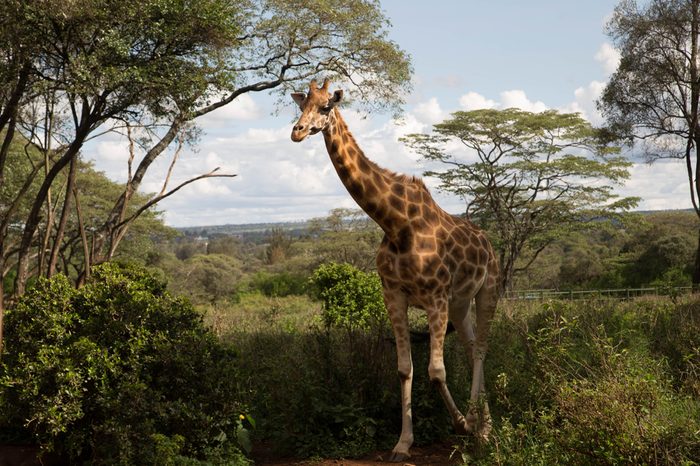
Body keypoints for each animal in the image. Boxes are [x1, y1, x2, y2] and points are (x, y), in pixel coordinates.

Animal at [292, 78, 500, 460]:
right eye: (301, 105)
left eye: (326, 106)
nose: (297, 132)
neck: (395, 223)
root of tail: (488, 241)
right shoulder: (394, 294)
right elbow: (405, 369)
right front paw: (403, 443)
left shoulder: (435, 297)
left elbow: (436, 371)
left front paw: (463, 425)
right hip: (460, 302)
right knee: (470, 346)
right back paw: (483, 423)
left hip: (488, 288)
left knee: (481, 348)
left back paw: (482, 428)